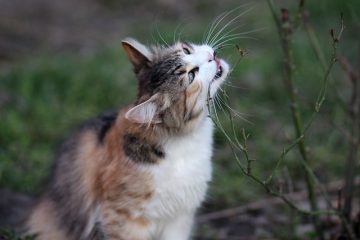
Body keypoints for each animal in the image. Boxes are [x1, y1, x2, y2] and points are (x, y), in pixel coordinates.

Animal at [0, 37, 228, 240]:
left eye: (186, 50)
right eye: (191, 75)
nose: (210, 57)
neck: (184, 140)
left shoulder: (180, 217)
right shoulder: (122, 218)